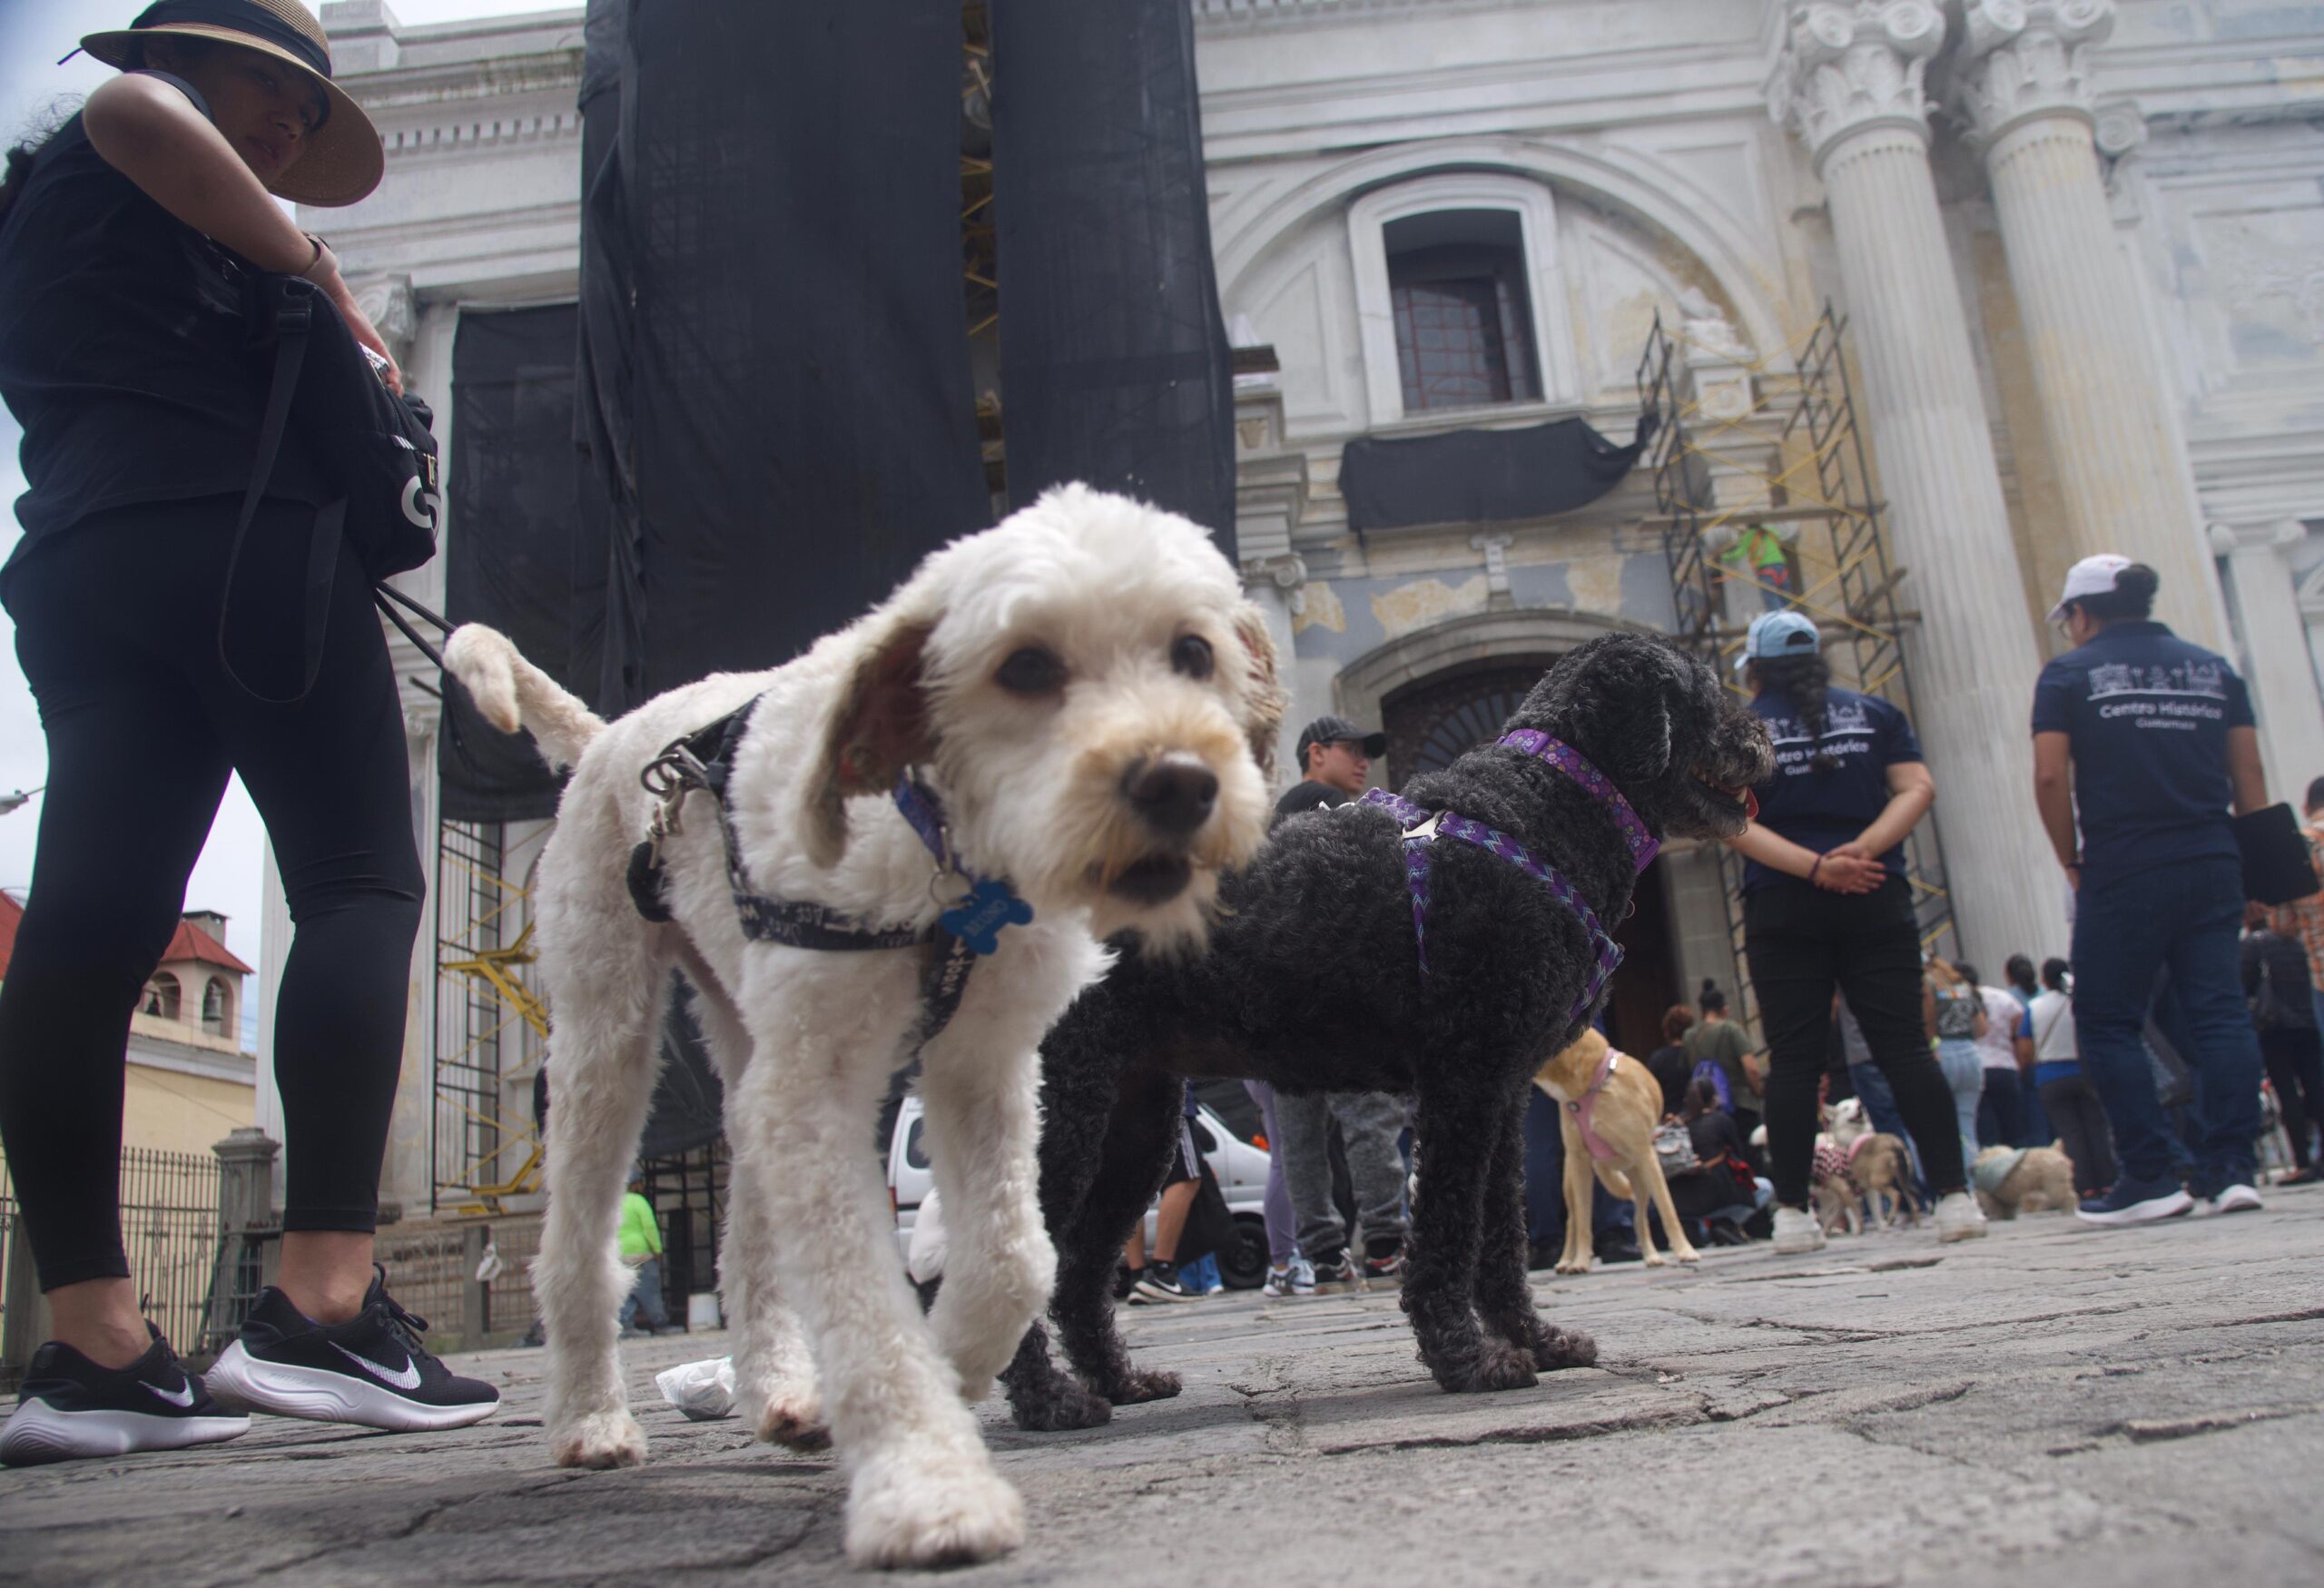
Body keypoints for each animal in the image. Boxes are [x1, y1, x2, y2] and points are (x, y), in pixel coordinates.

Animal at [443, 488, 1283, 1581]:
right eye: (1024, 666)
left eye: (1192, 651)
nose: (1180, 784)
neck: (946, 862)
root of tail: (610, 738)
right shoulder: (825, 1089)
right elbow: (864, 1294)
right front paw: (925, 1483)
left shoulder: (985, 1067)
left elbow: (1012, 1259)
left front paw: (953, 1369)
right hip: (605, 1029)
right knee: (578, 1240)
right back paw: (590, 1420)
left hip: (748, 1032)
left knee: (748, 1232)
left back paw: (782, 1393)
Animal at [1533, 1031, 1700, 1283]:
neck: (1592, 1084)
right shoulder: (1580, 1162)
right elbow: (1583, 1224)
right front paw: (1580, 1261)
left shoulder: (1646, 1155)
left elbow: (1668, 1210)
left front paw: (1684, 1251)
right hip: (1571, 1182)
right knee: (1573, 1221)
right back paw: (1565, 1260)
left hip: (1639, 1179)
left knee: (1640, 1219)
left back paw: (1652, 1256)